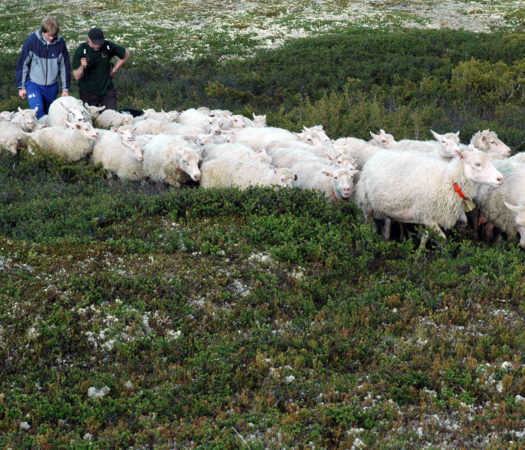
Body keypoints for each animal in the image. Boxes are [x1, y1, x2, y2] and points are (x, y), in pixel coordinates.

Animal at [354, 147, 502, 246]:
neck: (448, 181)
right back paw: (368, 240)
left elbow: (426, 237)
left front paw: (419, 255)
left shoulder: (433, 215)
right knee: (366, 223)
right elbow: (442, 239)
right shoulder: (428, 216)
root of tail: (375, 156)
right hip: (366, 203)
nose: (500, 178)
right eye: (477, 164)